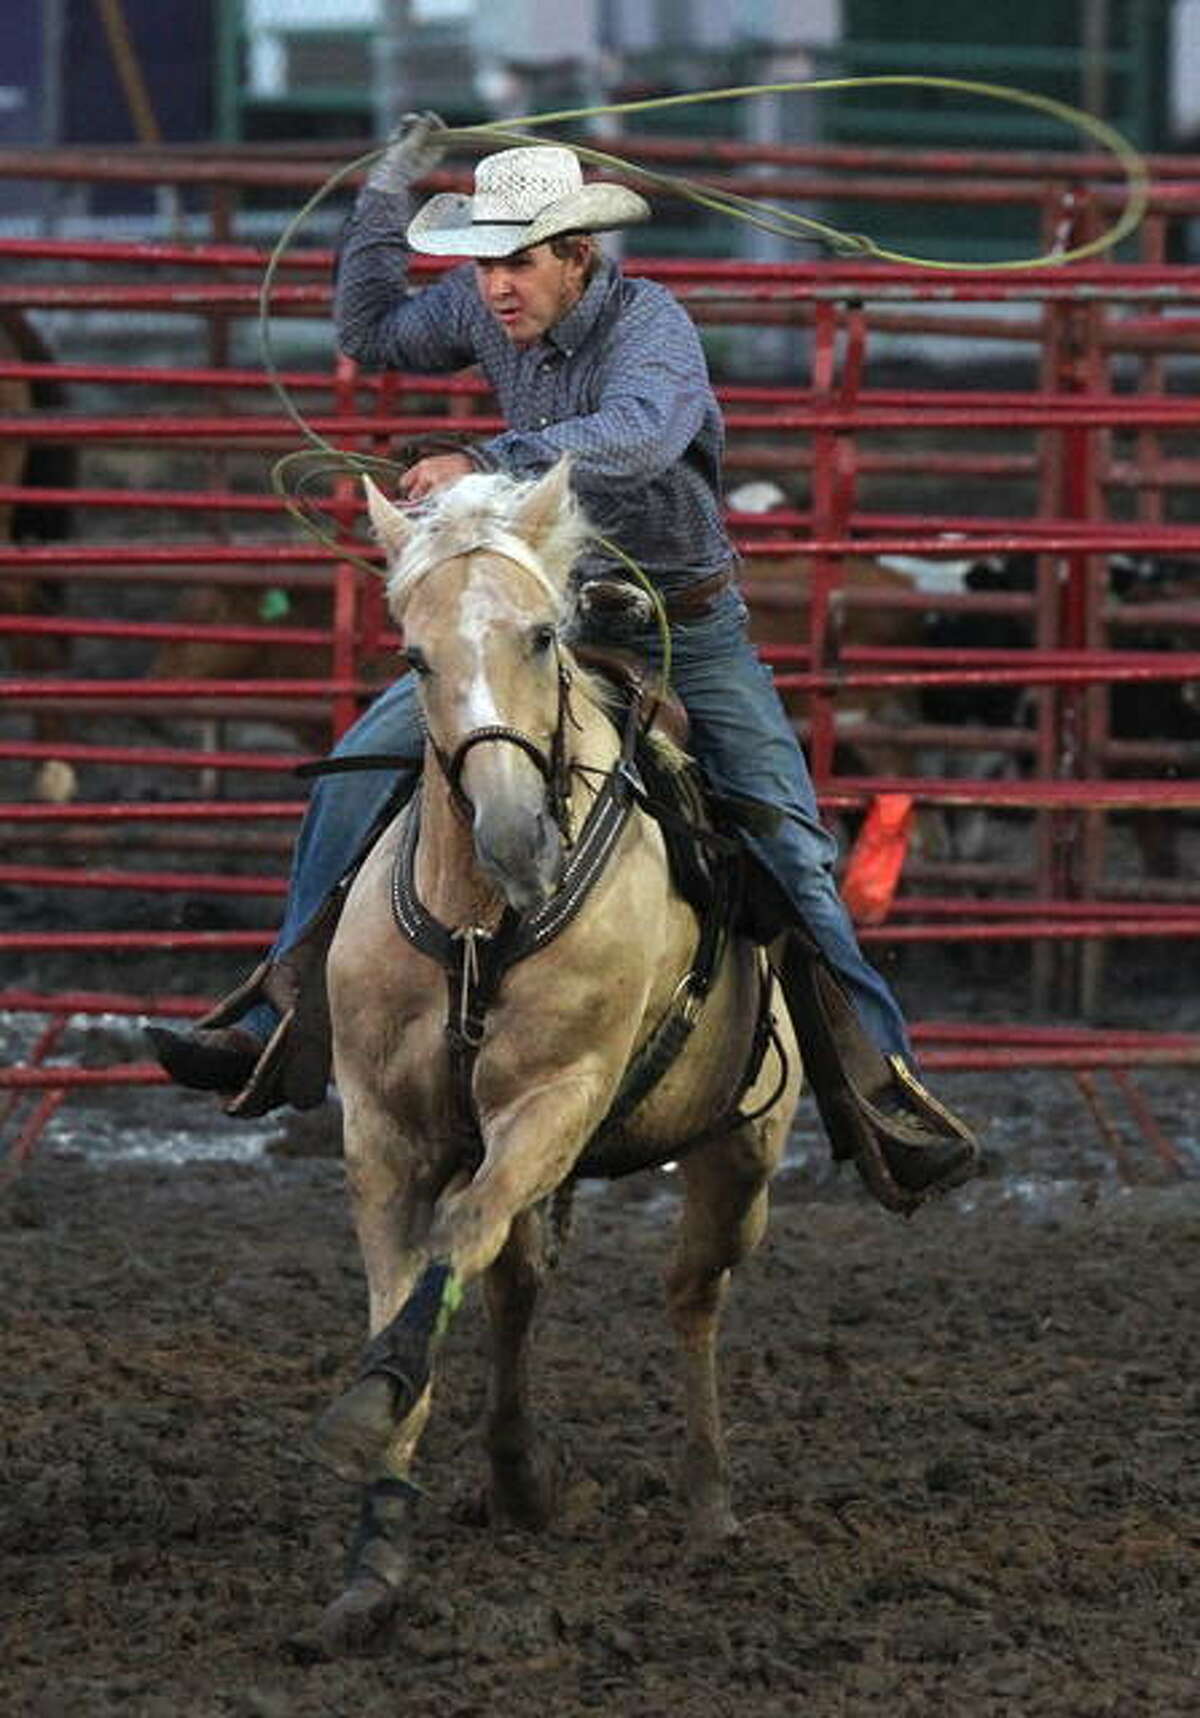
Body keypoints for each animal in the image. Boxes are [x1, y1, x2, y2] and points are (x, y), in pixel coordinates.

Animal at [295, 463, 797, 1656]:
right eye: (413, 657)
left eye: (536, 635)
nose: (518, 836)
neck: (482, 915)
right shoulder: (383, 1132)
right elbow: (412, 1291)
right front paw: (373, 1560)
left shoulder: (554, 1101)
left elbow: (460, 1234)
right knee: (518, 1283)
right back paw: (521, 1475)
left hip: (744, 1153)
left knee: (690, 1291)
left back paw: (708, 1502)